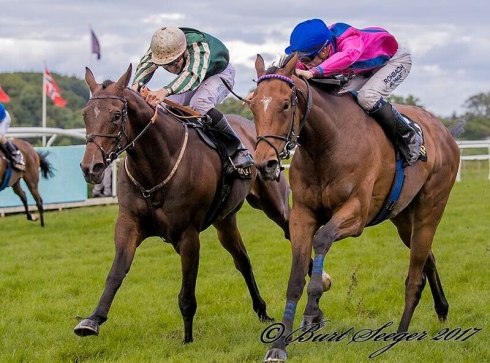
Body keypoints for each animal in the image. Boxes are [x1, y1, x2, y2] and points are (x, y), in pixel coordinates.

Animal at [74, 64, 292, 344]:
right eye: (85, 114)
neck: (156, 166)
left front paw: (188, 338)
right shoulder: (128, 224)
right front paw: (92, 320)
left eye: (115, 115)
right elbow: (116, 272)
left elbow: (187, 292)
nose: (91, 167)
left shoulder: (188, 235)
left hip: (274, 204)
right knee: (242, 260)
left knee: (292, 229)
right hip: (225, 221)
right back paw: (262, 310)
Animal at [249, 52, 464, 362]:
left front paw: (312, 313)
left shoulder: (357, 213)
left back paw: (399, 335)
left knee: (415, 276)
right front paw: (279, 344)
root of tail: (445, 132)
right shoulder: (302, 215)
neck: (327, 143)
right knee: (428, 258)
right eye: (252, 104)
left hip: (430, 209)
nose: (264, 165)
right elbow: (296, 278)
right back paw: (442, 310)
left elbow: (322, 239)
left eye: (286, 105)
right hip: (403, 218)